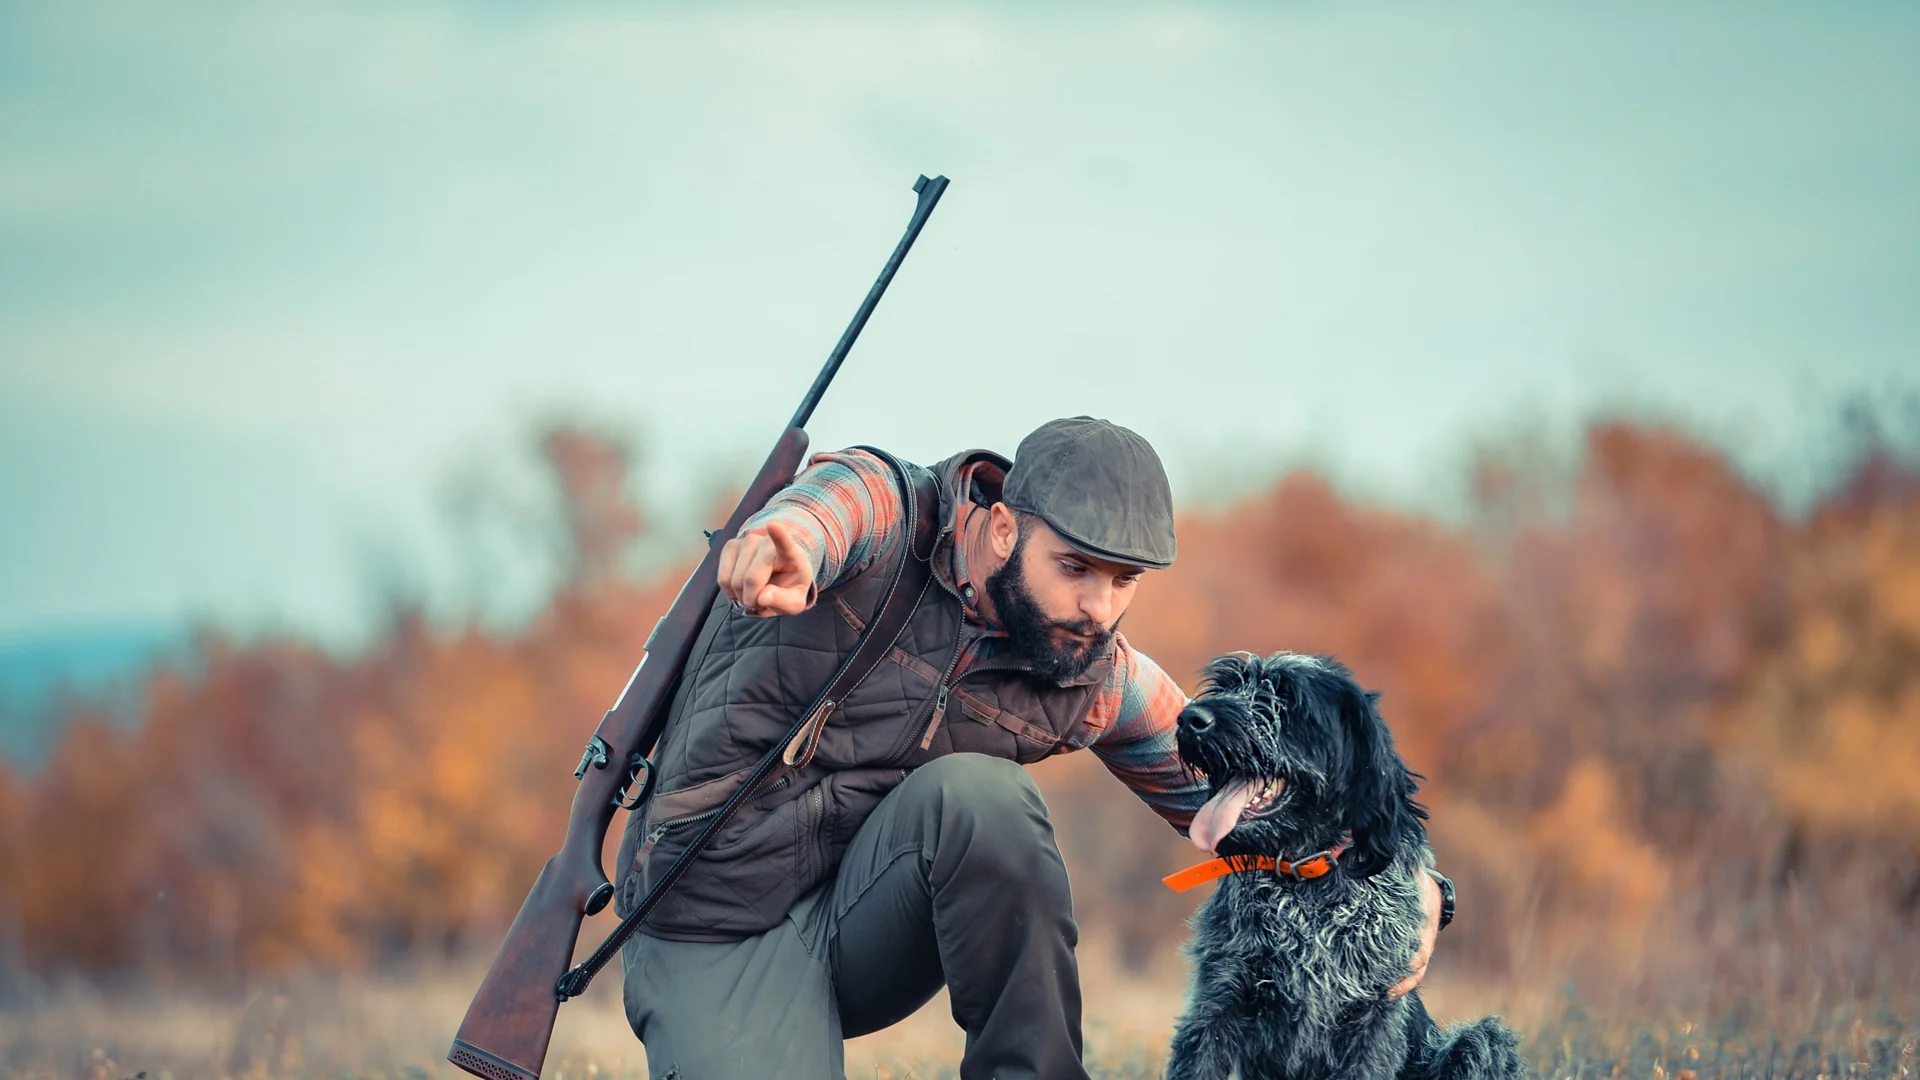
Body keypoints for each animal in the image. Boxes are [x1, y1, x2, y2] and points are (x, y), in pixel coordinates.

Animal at [1159, 645, 1520, 1076]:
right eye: (1226, 687)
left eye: (1284, 699)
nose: (1190, 719)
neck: (1304, 879)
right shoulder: (1216, 1007)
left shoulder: (1372, 1021)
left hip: (1482, 1041)